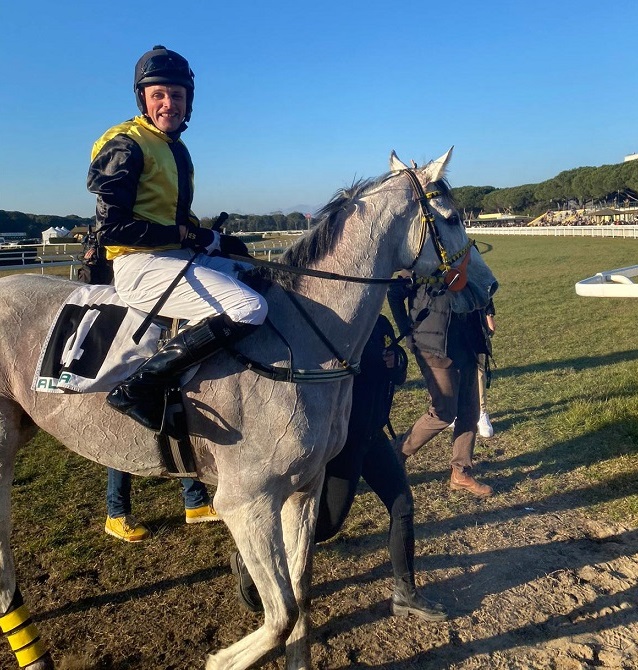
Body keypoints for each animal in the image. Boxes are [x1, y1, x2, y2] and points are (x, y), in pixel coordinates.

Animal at [0, 148, 500, 670]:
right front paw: (222, 660)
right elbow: (279, 616)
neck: (301, 341)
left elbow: (299, 596)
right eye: (451, 217)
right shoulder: (246, 503)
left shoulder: (304, 489)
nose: (488, 287)